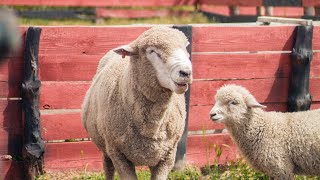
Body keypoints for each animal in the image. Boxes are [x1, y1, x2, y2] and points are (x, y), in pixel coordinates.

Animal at [82, 26, 192, 180]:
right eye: (152, 51)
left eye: (185, 47)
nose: (186, 73)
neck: (151, 127)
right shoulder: (119, 155)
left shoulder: (167, 157)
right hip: (106, 148)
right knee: (108, 167)